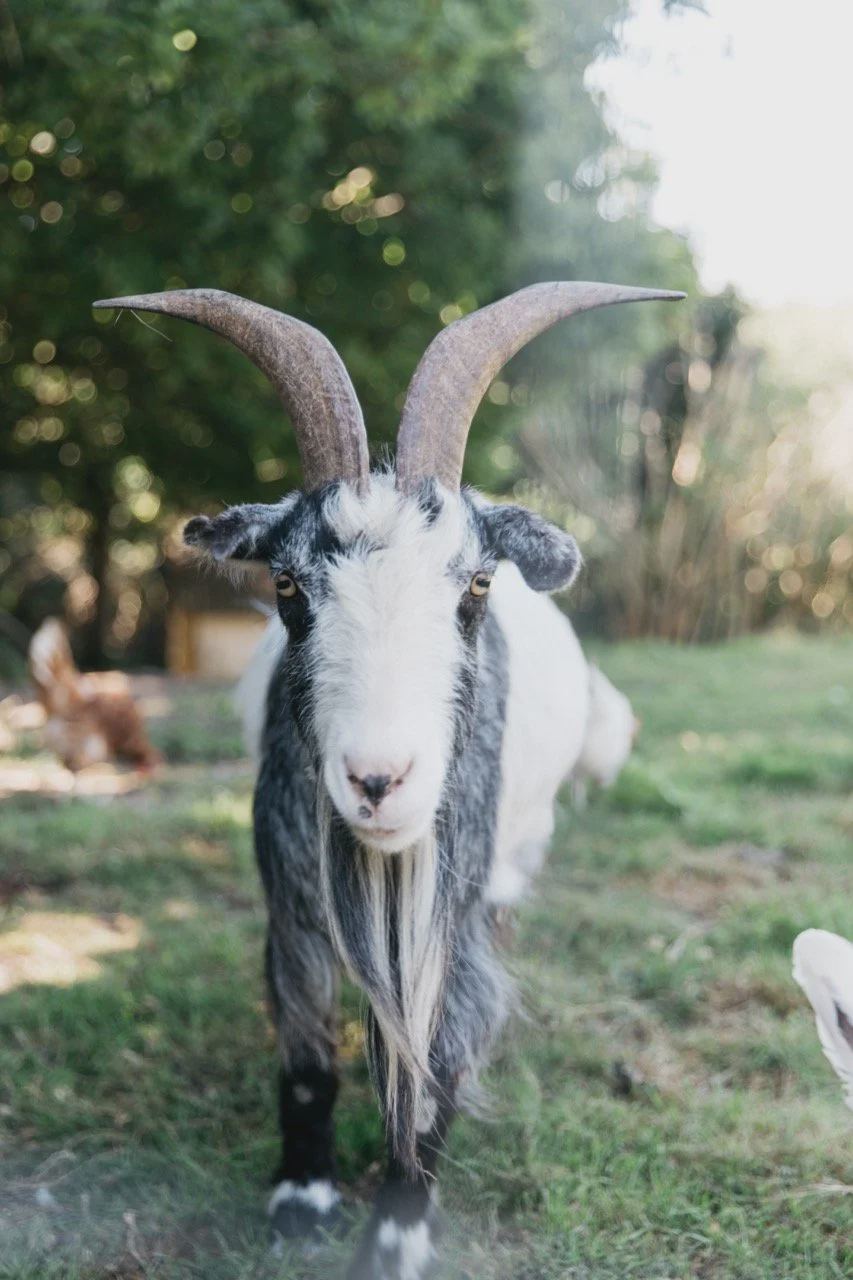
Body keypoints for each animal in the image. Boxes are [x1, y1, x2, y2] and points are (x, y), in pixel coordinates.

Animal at [94, 280, 683, 1279]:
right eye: (288, 585)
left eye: (476, 585)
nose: (378, 781)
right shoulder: (290, 905)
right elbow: (304, 1060)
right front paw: (301, 1200)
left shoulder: (449, 924)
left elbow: (435, 1068)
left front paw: (398, 1234)